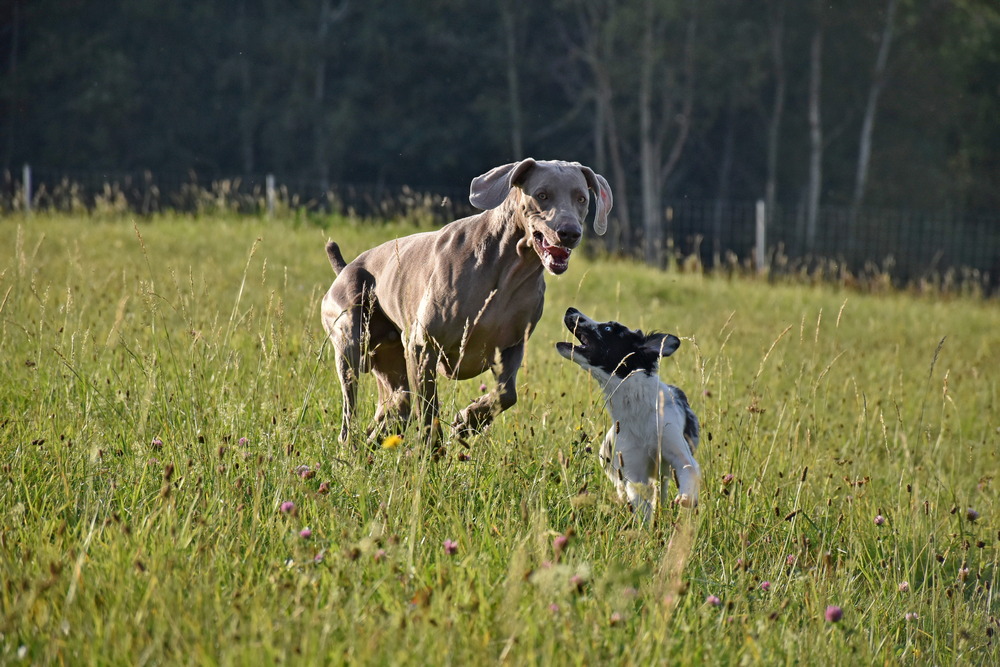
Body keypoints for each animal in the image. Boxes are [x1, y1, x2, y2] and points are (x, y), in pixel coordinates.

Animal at [324, 159, 612, 446]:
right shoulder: (423, 345)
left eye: (581, 198)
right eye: (542, 195)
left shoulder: (511, 346)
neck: (507, 269)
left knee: (395, 408)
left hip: (390, 363)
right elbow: (429, 409)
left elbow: (507, 393)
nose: (570, 233)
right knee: (353, 412)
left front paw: (466, 422)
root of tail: (345, 268)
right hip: (351, 345)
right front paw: (433, 449)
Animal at [560, 308, 700, 520]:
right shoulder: (633, 470)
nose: (571, 310)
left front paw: (686, 498)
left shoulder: (677, 451)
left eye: (608, 328)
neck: (636, 407)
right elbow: (640, 503)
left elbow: (688, 469)